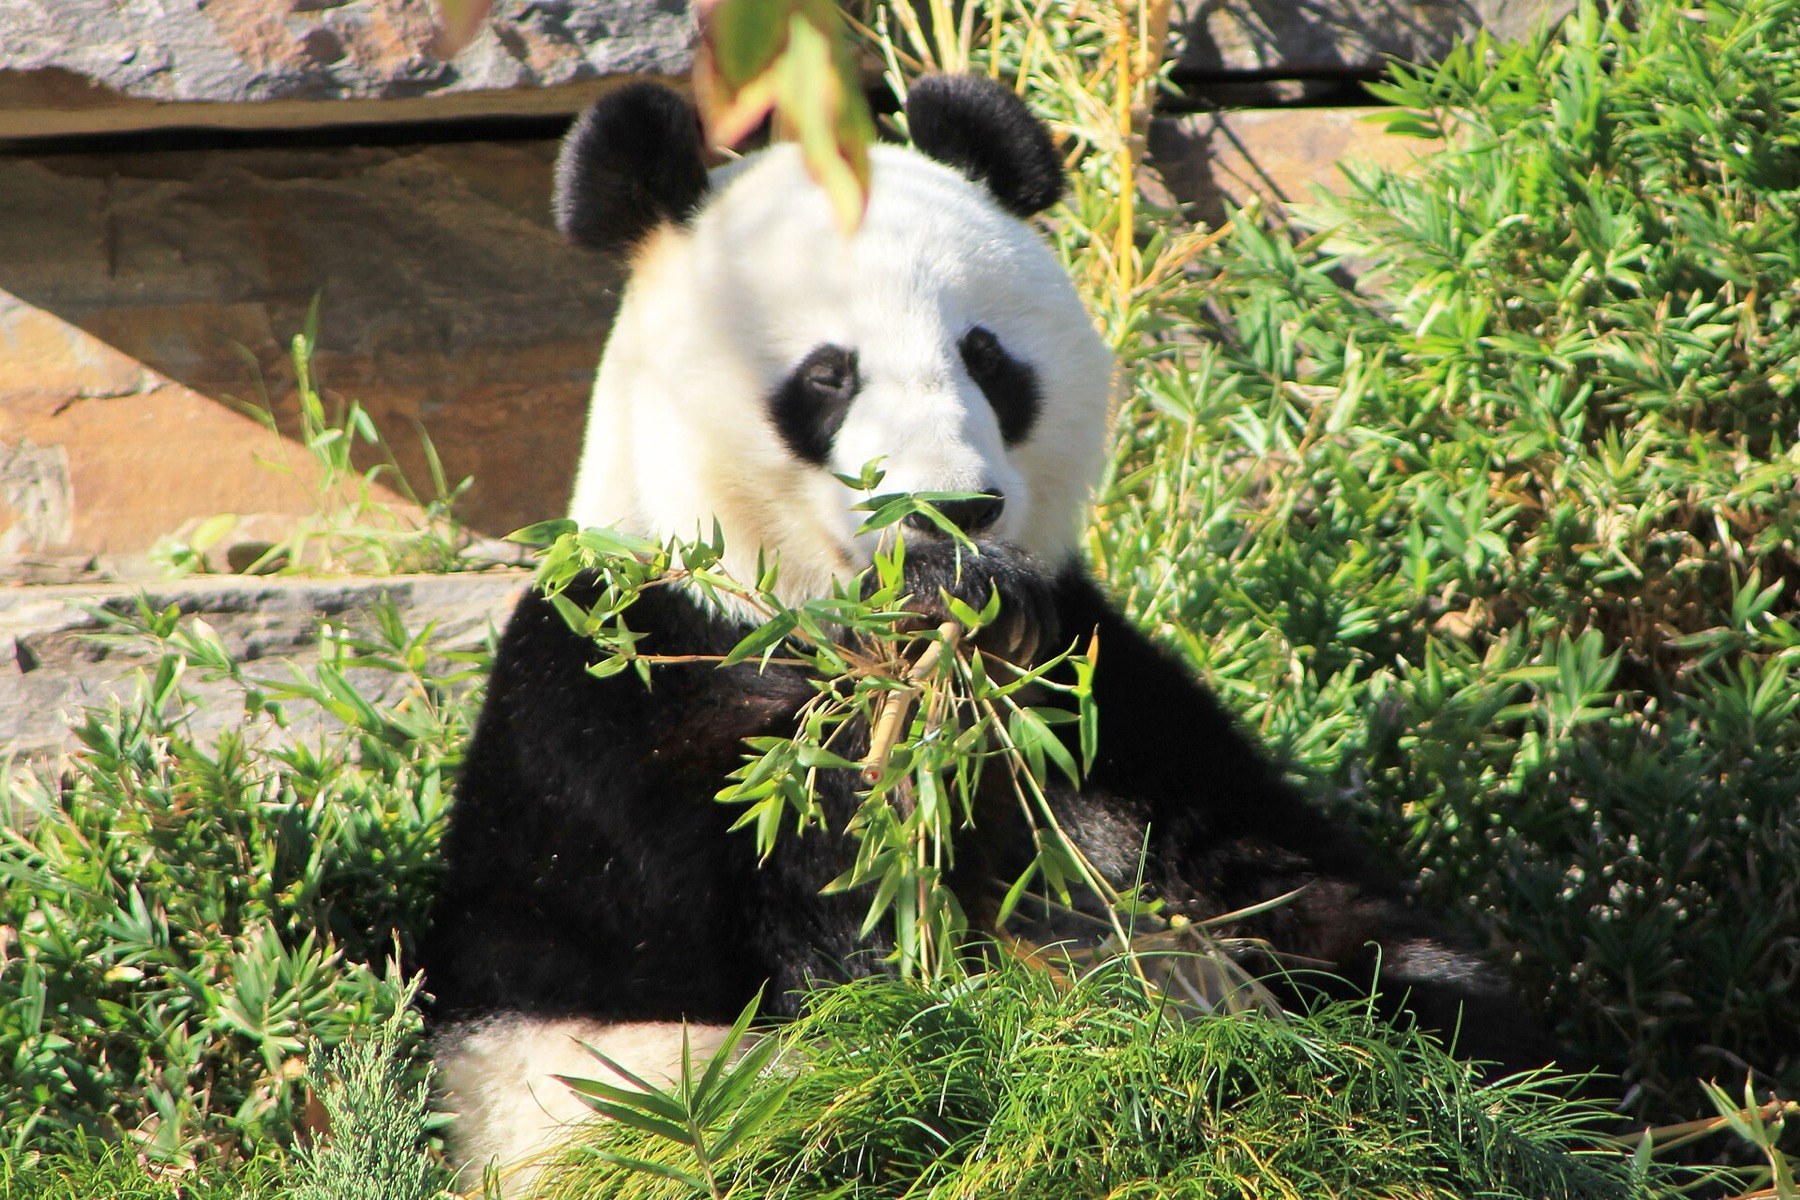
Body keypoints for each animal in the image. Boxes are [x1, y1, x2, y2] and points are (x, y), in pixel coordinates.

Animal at [421, 74, 1559, 1180]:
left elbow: (1292, 889)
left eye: (986, 357)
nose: (951, 512)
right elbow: (818, 915)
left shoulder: (1115, 699)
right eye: (829, 375)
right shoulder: (615, 689)